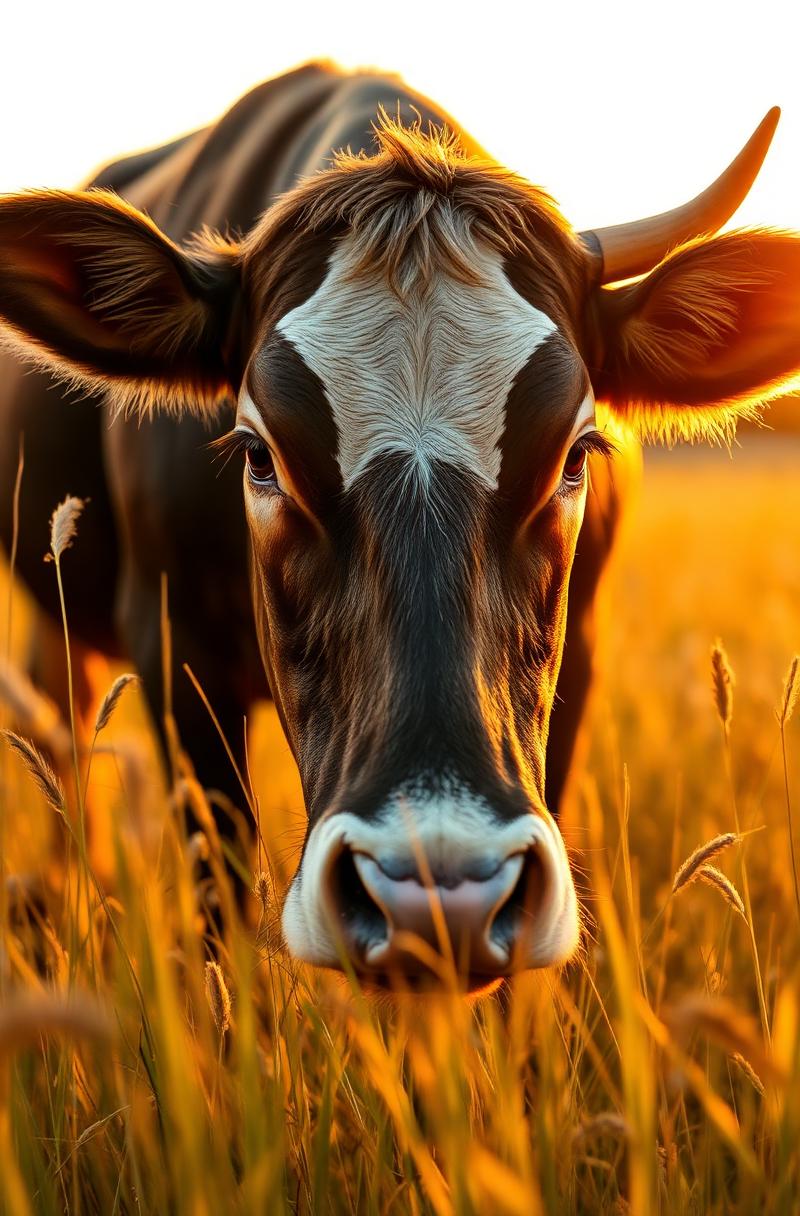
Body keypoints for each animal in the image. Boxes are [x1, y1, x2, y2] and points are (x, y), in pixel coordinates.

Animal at [1, 63, 797, 990]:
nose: (435, 886)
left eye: (576, 453)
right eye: (258, 454)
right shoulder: (172, 649)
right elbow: (218, 902)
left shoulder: (579, 662)